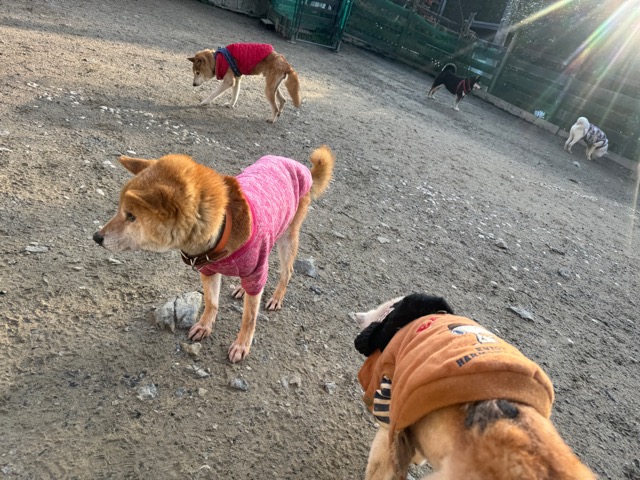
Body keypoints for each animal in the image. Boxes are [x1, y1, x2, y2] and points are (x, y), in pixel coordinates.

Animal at [93, 146, 334, 363]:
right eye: (120, 210)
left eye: (131, 216)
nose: (96, 236)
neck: (222, 228)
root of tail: (299, 166)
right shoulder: (208, 270)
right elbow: (211, 302)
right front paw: (204, 325)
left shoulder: (254, 270)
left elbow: (249, 318)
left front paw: (241, 345)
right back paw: (242, 289)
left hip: (287, 238)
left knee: (287, 271)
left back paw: (276, 297)